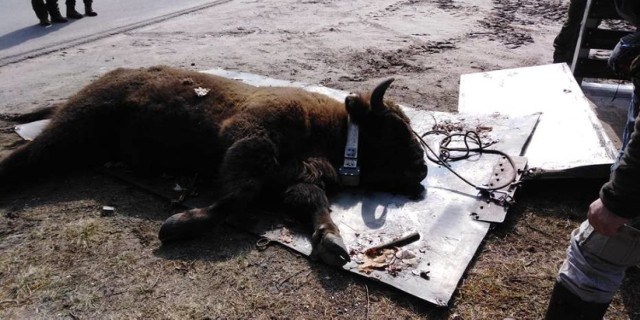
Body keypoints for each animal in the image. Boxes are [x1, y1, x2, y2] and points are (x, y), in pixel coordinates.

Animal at [1, 67, 430, 268]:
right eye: (394, 129)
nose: (423, 171)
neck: (335, 129)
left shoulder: (296, 180)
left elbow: (311, 203)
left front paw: (333, 244)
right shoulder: (249, 140)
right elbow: (238, 196)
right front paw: (175, 226)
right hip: (73, 127)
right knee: (24, 159)